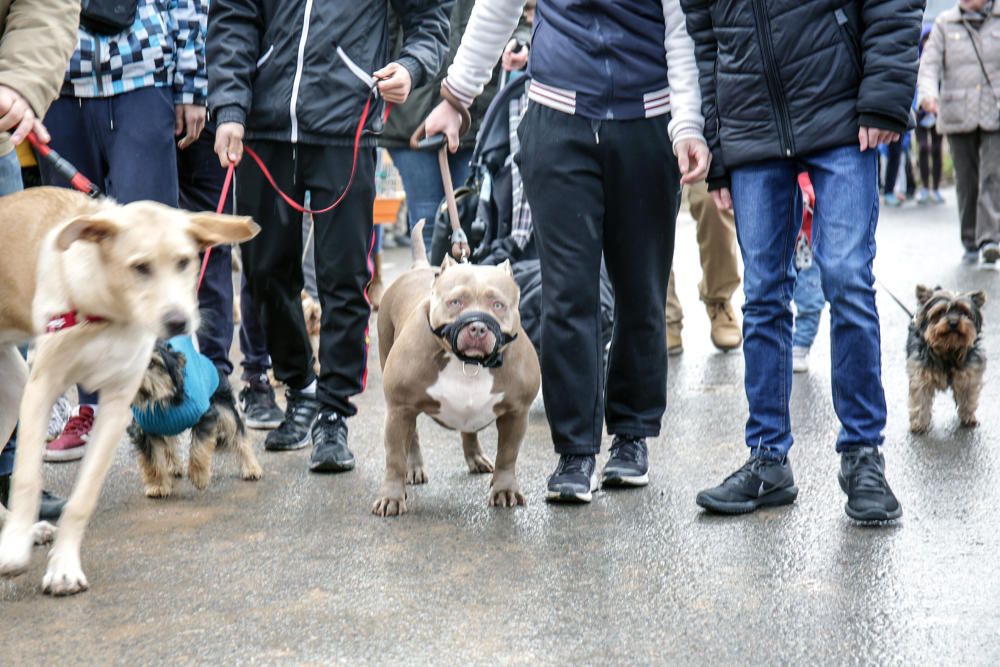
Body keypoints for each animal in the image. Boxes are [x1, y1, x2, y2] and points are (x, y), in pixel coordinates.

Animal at [0, 187, 260, 596]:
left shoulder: (119, 404)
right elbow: (27, 477)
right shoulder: (42, 390)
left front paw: (63, 566)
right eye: (140, 267)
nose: (178, 320)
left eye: (185, 261)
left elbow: (85, 496)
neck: (105, 312)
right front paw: (15, 550)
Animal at [372, 224, 540, 516]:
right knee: (411, 437)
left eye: (498, 305)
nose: (478, 327)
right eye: (455, 302)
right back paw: (413, 468)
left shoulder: (517, 412)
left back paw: (477, 458)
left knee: (469, 431)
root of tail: (419, 266)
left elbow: (508, 455)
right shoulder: (399, 407)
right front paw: (391, 497)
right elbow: (394, 458)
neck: (469, 364)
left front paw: (505, 489)